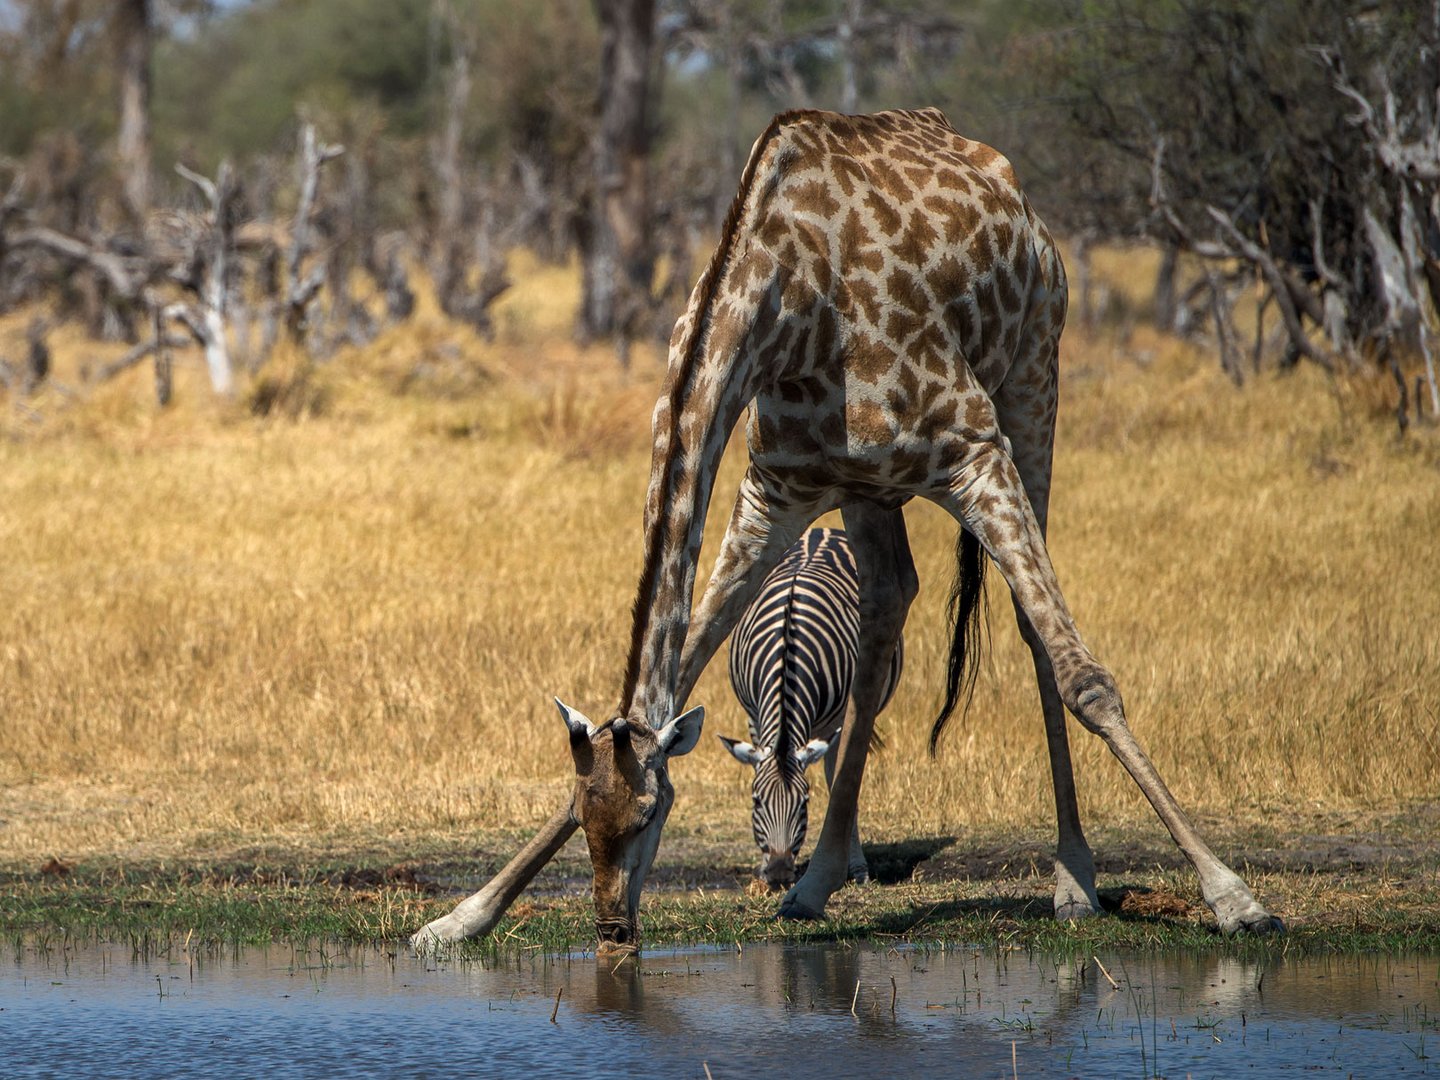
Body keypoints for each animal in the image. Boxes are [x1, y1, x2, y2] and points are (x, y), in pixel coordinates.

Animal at [717, 529, 898, 892]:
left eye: (804, 804)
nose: (779, 875)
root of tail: (821, 531)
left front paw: (854, 869)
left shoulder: (839, 722)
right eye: (756, 802)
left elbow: (840, 784)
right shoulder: (755, 717)